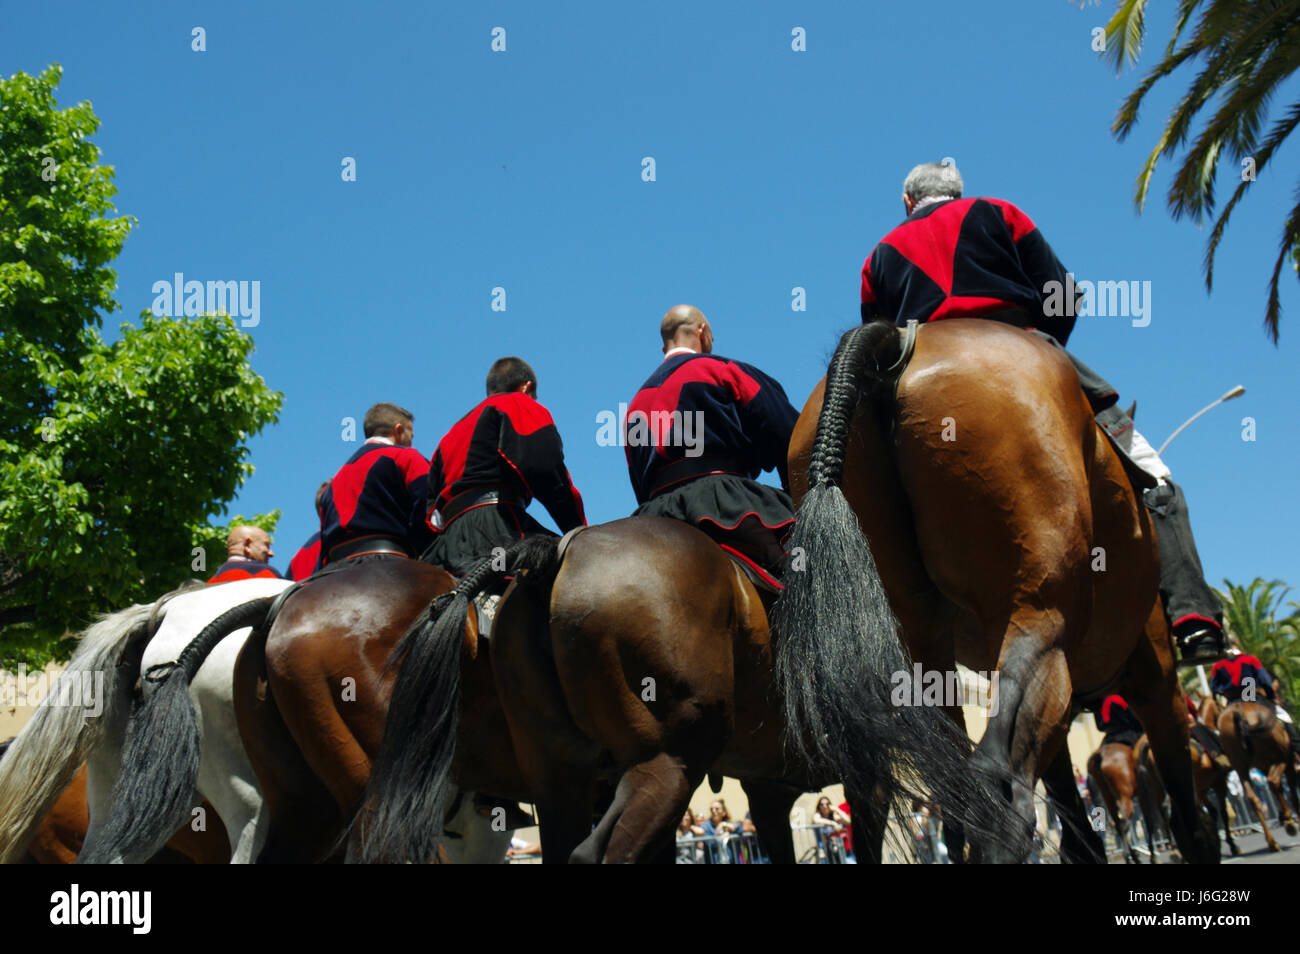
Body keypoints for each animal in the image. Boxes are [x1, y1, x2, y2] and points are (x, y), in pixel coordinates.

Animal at [780, 321, 1216, 868]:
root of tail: (896, 344)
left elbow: (1077, 824)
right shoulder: (1157, 682)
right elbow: (1187, 814)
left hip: (931, 660)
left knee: (911, 801)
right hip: (1043, 626)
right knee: (997, 788)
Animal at [1201, 696, 1294, 852]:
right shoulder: (1287, 760)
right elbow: (1289, 790)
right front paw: (1288, 819)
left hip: (1240, 767)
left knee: (1252, 798)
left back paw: (1271, 841)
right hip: (1278, 759)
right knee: (1273, 781)